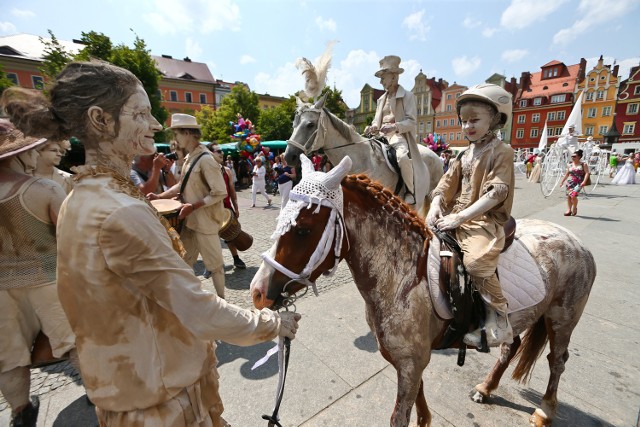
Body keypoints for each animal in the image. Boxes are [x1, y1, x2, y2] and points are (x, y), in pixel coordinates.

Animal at [250, 155, 596, 426]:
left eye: (303, 229)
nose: (257, 292)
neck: (401, 275)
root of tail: (576, 243)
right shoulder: (409, 361)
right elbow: (419, 398)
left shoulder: (411, 362)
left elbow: (401, 414)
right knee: (512, 347)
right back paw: (486, 388)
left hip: (562, 318)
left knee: (557, 360)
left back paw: (544, 411)